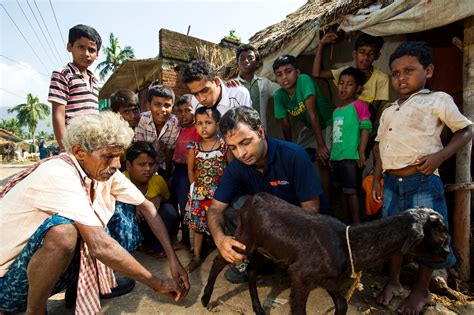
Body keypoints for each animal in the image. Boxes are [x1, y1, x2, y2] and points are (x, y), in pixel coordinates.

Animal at [202, 193, 450, 315]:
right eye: (441, 234)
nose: (447, 256)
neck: (347, 244)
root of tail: (251, 200)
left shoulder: (328, 280)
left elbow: (342, 305)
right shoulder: (300, 276)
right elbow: (299, 311)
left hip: (265, 249)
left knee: (252, 270)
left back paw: (258, 308)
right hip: (244, 239)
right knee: (219, 259)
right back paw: (205, 298)